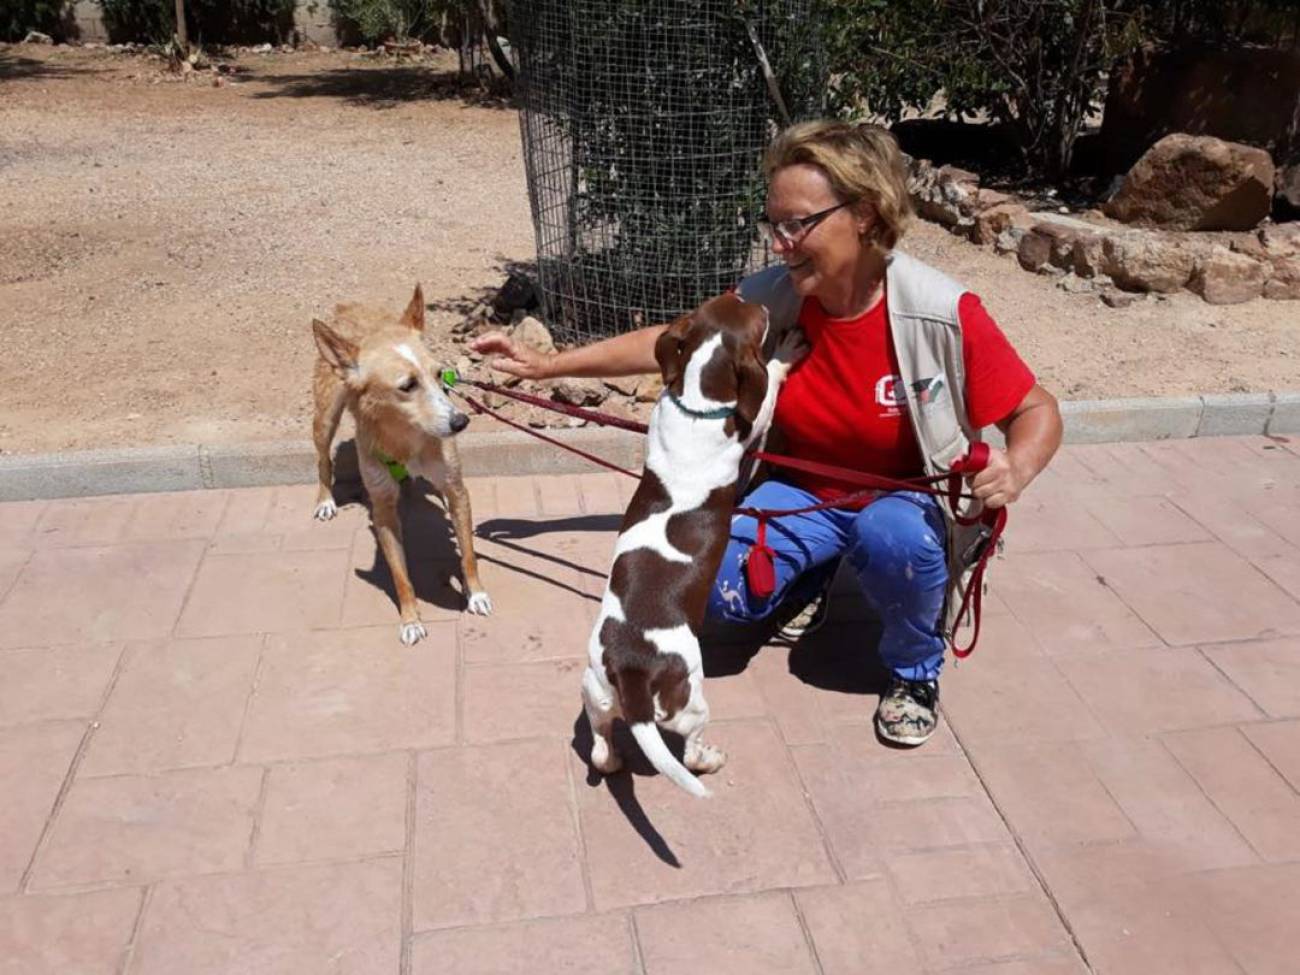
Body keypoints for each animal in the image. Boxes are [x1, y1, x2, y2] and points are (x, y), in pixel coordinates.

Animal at [310, 284, 491, 650]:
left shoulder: (456, 489)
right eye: (407, 386)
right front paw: (410, 620)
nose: (461, 421)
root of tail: (351, 306)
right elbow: (399, 575)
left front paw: (475, 593)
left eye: (440, 376)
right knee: (323, 458)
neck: (408, 440)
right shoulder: (381, 509)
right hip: (325, 416)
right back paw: (325, 500)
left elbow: (467, 551)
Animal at [582, 293, 800, 795]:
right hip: (691, 705)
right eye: (755, 316)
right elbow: (768, 390)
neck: (697, 404)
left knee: (600, 748)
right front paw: (788, 352)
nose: (757, 298)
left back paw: (613, 758)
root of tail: (632, 671)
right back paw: (713, 759)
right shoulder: (749, 423)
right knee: (692, 750)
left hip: (594, 691)